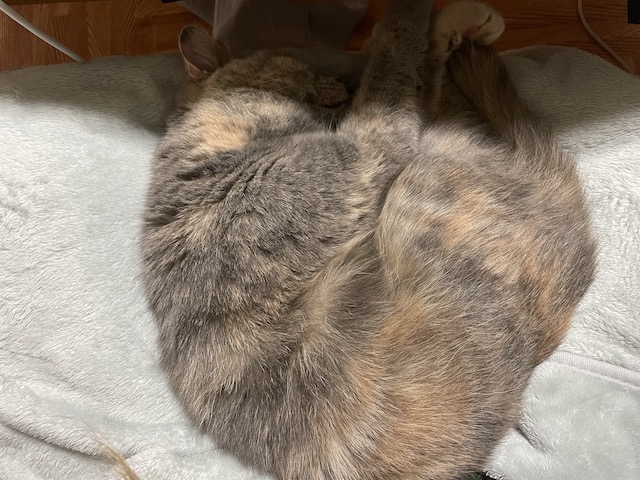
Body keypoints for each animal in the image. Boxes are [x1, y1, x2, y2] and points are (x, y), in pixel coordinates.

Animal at [141, 1, 595, 479]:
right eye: (305, 76)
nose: (344, 87)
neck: (209, 149)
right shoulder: (364, 154)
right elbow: (396, 61)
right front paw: (416, 15)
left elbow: (407, 75)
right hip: (423, 183)